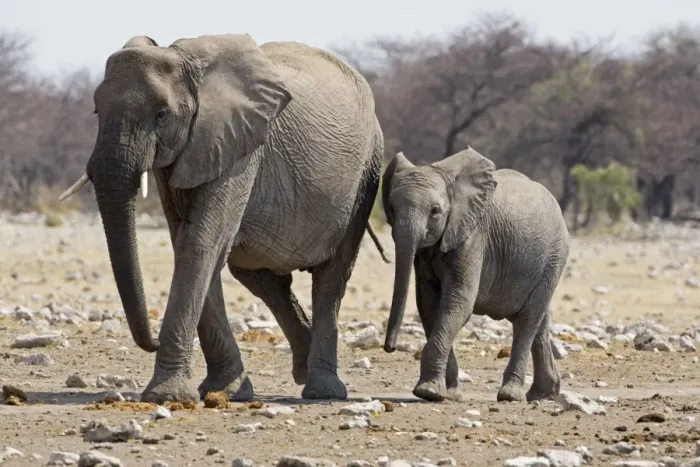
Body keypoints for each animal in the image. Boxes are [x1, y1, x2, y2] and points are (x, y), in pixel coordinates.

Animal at [58, 33, 389, 403]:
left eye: (162, 115)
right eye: (96, 110)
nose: (152, 340)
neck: (184, 60)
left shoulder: (240, 147)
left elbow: (200, 243)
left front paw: (168, 396)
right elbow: (190, 243)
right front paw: (226, 391)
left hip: (366, 173)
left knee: (331, 278)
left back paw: (321, 389)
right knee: (262, 278)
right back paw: (302, 368)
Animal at [381, 147, 570, 403]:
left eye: (435, 211)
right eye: (391, 209)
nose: (389, 348)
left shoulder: (473, 235)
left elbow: (458, 302)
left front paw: (428, 392)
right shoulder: (426, 254)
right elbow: (429, 305)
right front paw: (449, 394)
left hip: (554, 256)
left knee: (527, 319)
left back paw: (510, 395)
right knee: (539, 320)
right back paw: (542, 395)